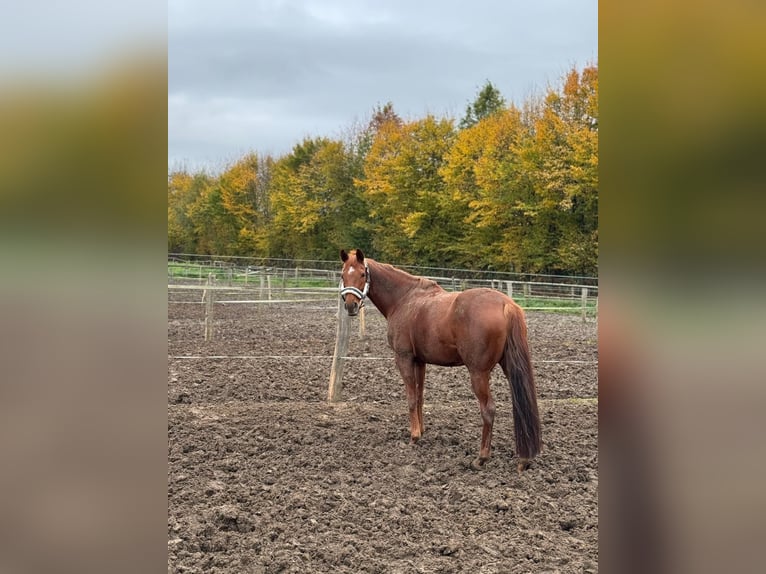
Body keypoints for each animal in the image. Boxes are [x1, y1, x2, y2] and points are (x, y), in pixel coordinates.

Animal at [340, 249, 544, 472]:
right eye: (343, 275)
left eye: (362, 274)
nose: (350, 306)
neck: (404, 298)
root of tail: (507, 304)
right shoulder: (420, 361)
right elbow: (419, 398)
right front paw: (421, 431)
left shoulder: (404, 358)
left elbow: (411, 398)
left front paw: (414, 437)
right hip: (510, 368)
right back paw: (524, 459)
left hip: (478, 373)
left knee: (488, 409)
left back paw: (481, 458)